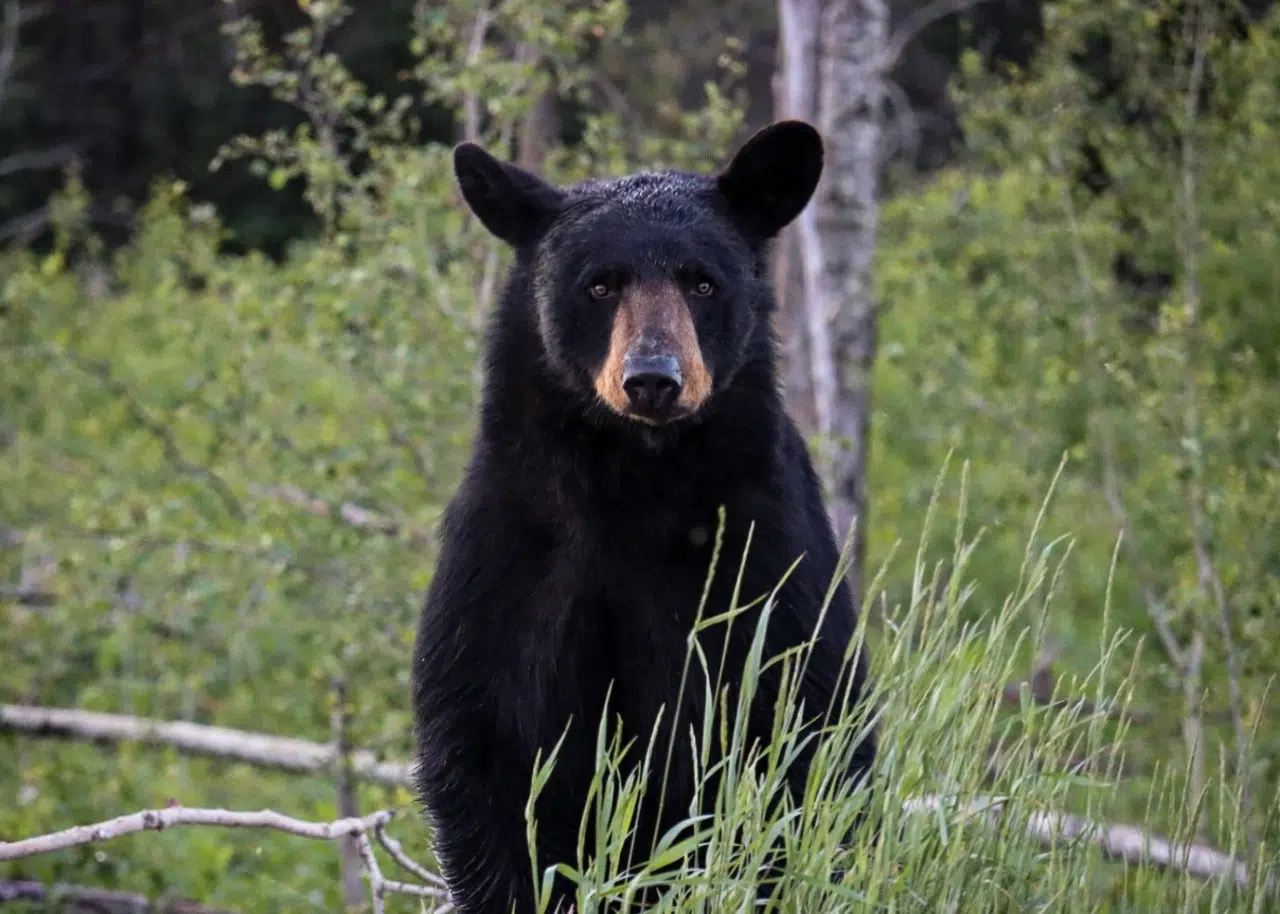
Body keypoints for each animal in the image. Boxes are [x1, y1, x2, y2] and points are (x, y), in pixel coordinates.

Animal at [414, 122, 875, 911]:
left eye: (702, 281)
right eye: (600, 283)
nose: (653, 379)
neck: (634, 482)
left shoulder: (765, 552)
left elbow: (804, 734)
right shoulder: (509, 556)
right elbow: (483, 754)